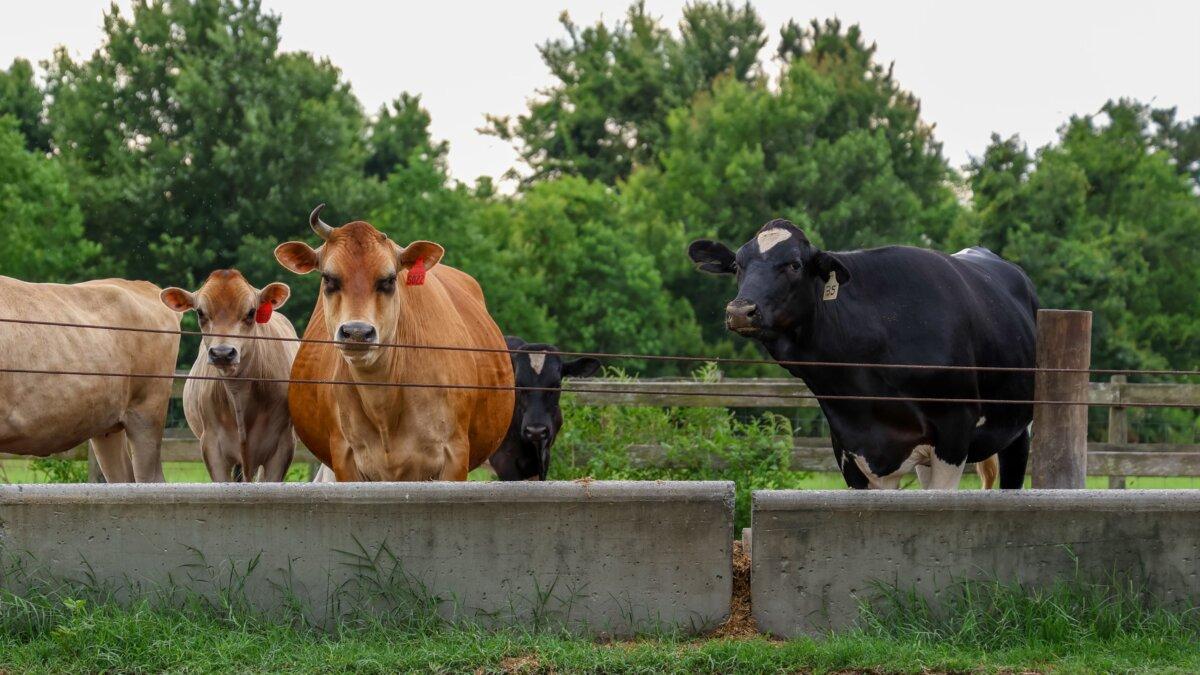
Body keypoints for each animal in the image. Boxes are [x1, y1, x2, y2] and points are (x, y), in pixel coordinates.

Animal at [161, 270, 298, 482]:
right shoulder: (211, 447)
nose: (222, 353)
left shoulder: (282, 447)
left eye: (251, 312)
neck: (238, 392)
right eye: (200, 312)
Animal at [273, 205, 514, 481]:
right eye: (329, 278)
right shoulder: (344, 458)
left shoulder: (455, 455)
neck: (384, 404)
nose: (357, 332)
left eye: (388, 279)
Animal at [688, 219, 1037, 490]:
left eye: (794, 264)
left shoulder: (954, 432)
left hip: (1018, 429)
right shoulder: (852, 446)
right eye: (738, 265)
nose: (740, 311)